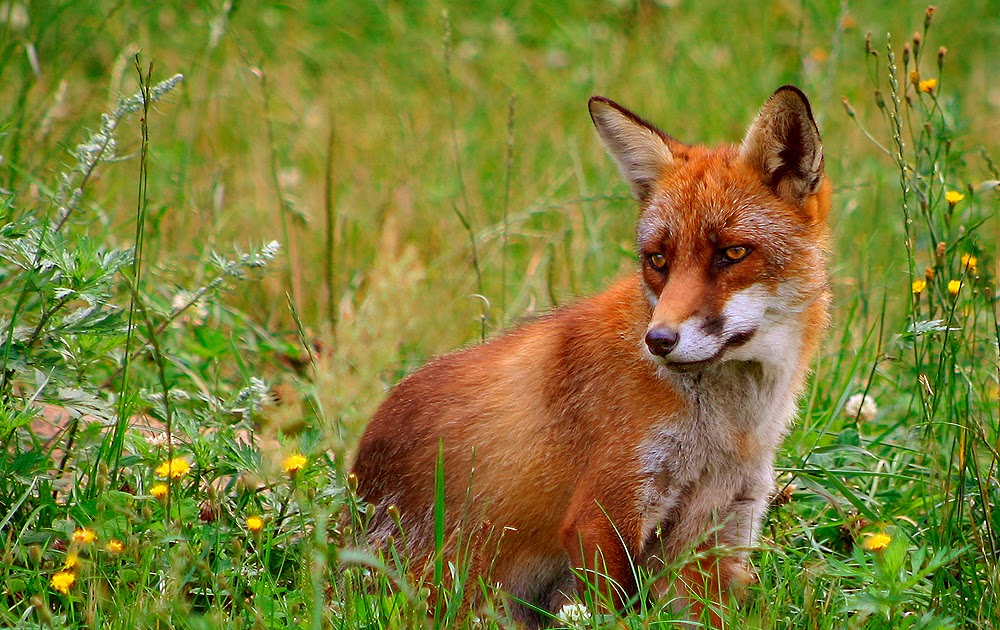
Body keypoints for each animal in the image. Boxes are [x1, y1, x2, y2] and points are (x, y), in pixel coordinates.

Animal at [351, 85, 831, 626]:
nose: (658, 340)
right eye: (658, 260)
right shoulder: (603, 512)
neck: (726, 430)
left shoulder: (718, 530)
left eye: (732, 253)